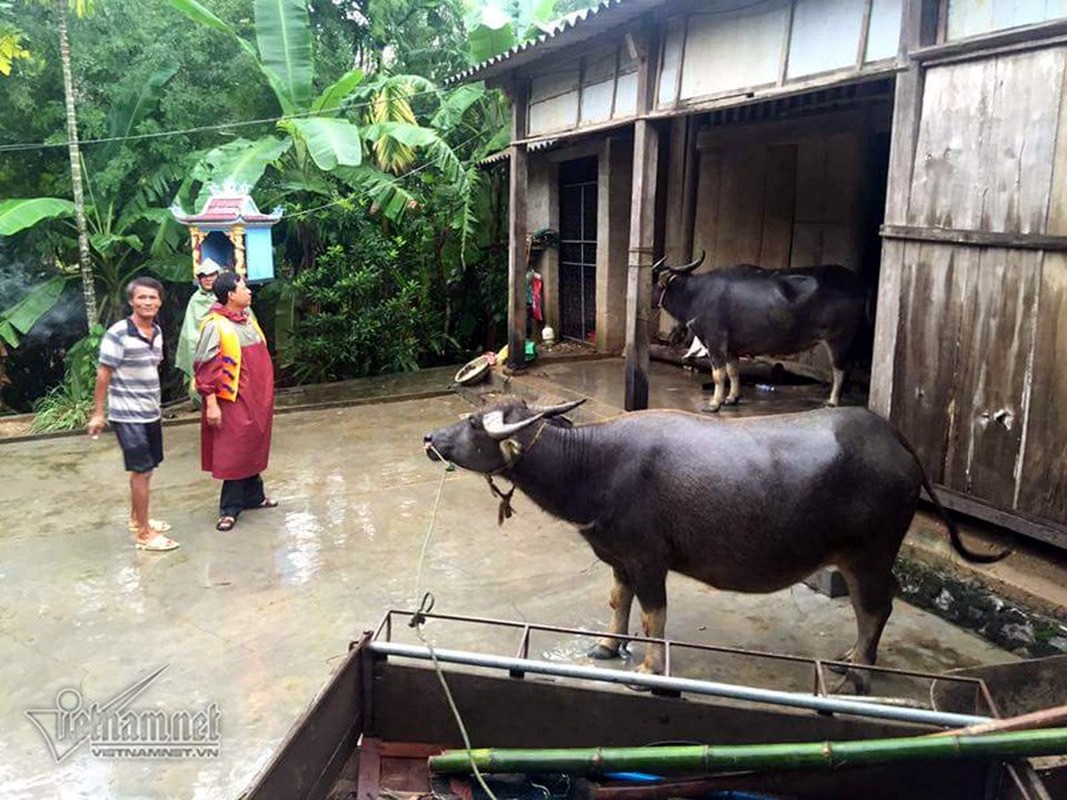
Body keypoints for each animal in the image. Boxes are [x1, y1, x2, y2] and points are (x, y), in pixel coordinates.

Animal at [424, 401, 1007, 695]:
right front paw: (608, 647)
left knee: (875, 605)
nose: (431, 438)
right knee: (880, 601)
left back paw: (858, 674)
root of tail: (895, 439)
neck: (596, 466)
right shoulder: (620, 559)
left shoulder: (649, 561)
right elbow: (618, 603)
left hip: (868, 551)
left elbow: (654, 616)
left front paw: (648, 670)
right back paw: (851, 657)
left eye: (473, 422)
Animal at [653, 253, 870, 409]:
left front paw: (714, 403)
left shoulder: (715, 340)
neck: (695, 294)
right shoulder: (731, 347)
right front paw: (732, 398)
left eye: (652, 281)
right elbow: (733, 371)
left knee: (840, 369)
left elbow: (718, 374)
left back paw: (832, 401)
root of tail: (859, 284)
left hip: (839, 339)